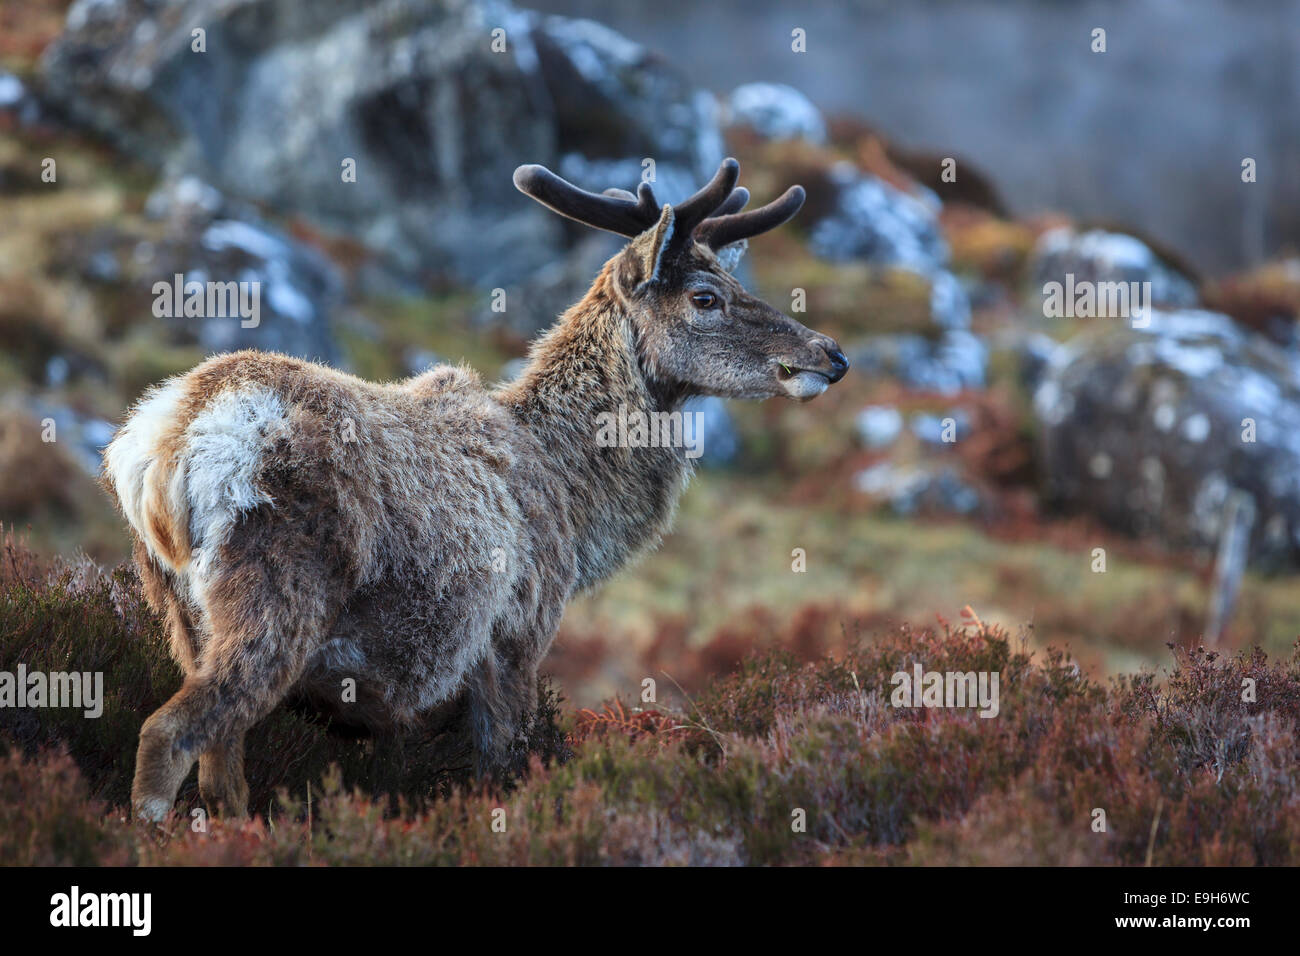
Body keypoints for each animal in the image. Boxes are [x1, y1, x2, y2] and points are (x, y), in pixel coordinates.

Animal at [104, 157, 852, 822]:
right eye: (706, 297)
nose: (831, 354)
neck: (578, 508)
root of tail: (165, 445)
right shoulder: (516, 635)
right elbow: (503, 774)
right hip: (277, 593)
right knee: (168, 734)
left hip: (180, 613)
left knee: (222, 771)